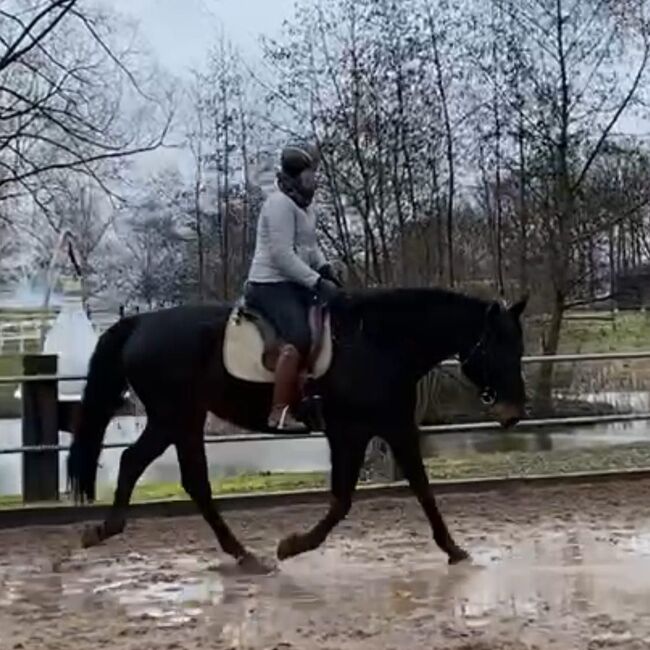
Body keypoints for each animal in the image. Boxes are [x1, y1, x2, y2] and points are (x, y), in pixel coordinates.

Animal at [67, 286, 528, 568]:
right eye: (500, 346)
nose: (513, 411)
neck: (378, 343)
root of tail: (140, 324)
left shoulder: (394, 426)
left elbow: (422, 488)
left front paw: (454, 549)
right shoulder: (348, 431)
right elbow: (342, 500)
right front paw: (292, 546)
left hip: (184, 420)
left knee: (181, 478)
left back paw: (240, 555)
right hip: (172, 417)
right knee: (140, 464)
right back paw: (105, 531)